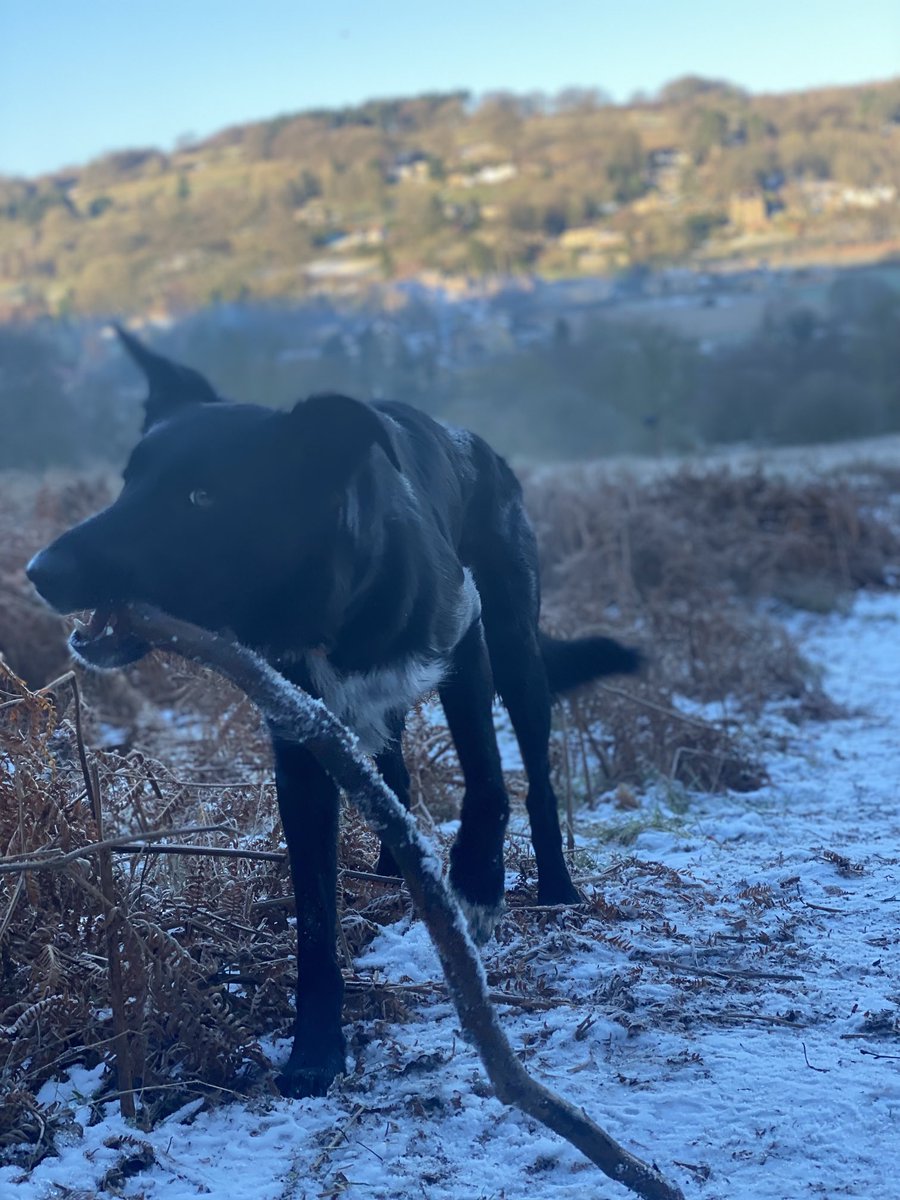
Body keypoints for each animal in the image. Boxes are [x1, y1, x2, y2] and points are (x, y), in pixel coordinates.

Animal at [30, 328, 643, 1099]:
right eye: (127, 484)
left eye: (201, 497)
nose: (41, 571)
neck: (332, 606)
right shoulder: (300, 744)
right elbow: (314, 914)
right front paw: (316, 1049)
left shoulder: (464, 637)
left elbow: (485, 781)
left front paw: (477, 881)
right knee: (395, 780)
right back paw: (389, 867)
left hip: (515, 653)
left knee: (535, 778)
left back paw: (556, 887)